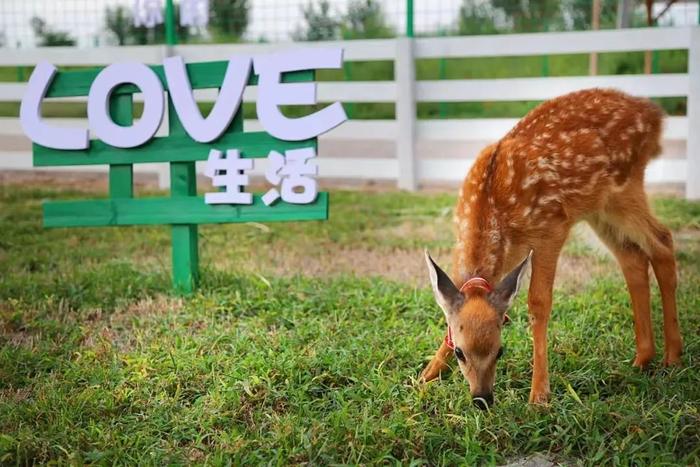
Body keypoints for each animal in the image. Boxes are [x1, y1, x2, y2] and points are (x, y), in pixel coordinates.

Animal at [422, 88, 684, 410]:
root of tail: (653, 114)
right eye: (459, 351)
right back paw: (643, 358)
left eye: (500, 350)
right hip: (599, 209)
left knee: (662, 240)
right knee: (632, 256)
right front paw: (427, 374)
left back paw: (672, 357)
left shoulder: (551, 228)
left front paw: (539, 395)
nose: (482, 398)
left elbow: (538, 304)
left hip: (624, 188)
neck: (491, 211)